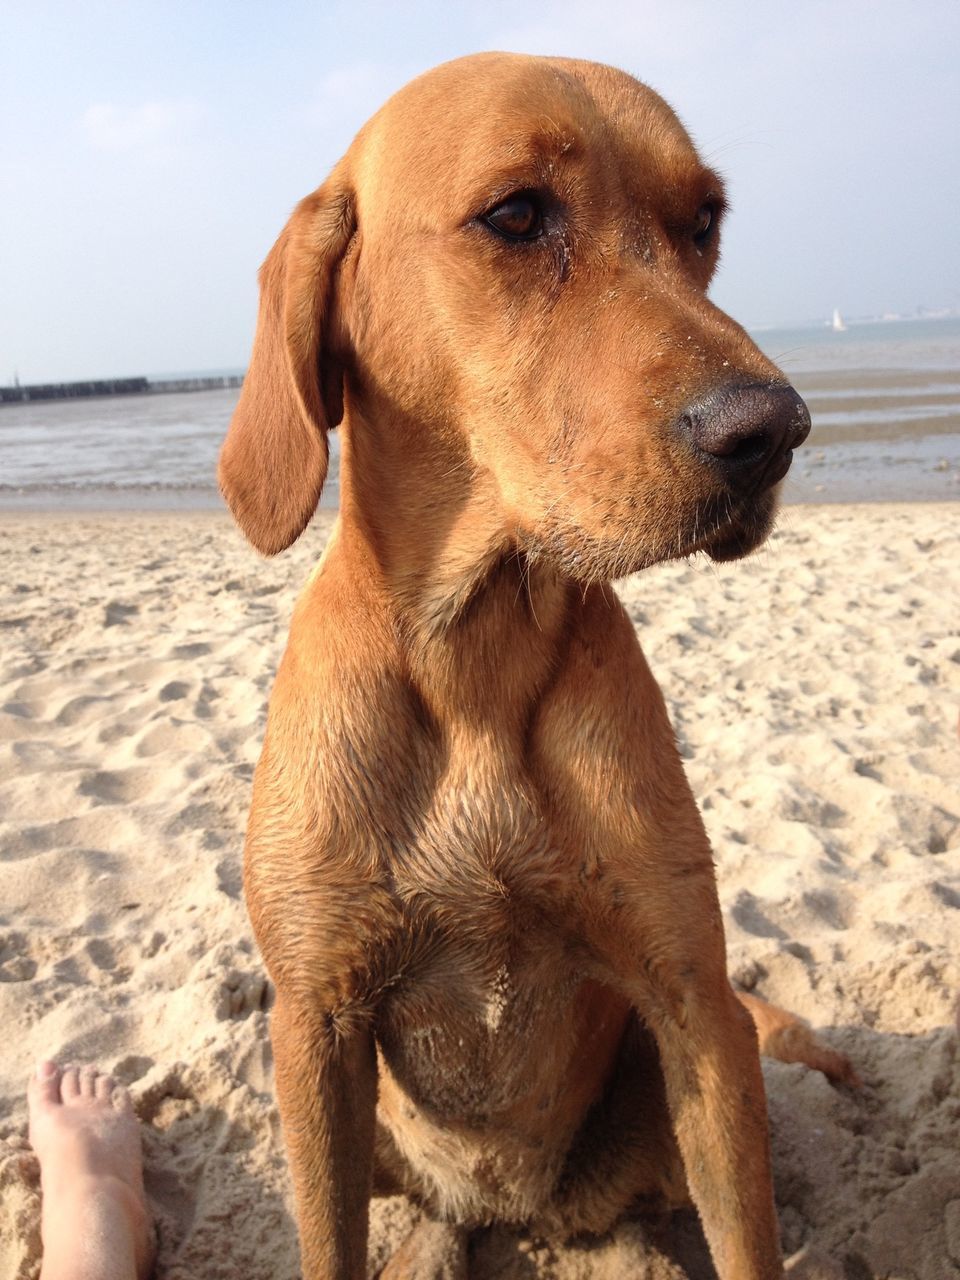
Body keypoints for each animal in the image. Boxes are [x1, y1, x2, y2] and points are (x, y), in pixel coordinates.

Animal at [220, 52, 855, 1280]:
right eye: (516, 215)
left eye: (703, 222)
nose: (775, 431)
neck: (481, 652)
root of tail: (526, 1208)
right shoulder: (315, 1027)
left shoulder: (693, 1003)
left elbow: (747, 1236)